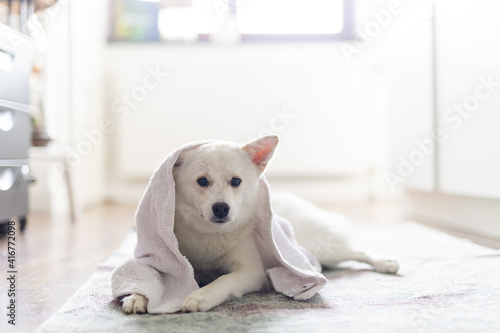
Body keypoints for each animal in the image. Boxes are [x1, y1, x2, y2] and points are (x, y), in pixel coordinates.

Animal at [121, 134, 398, 312]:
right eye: (202, 181)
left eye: (236, 181)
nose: (221, 208)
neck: (208, 236)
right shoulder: (166, 260)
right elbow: (150, 276)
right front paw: (137, 295)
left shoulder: (250, 272)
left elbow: (223, 281)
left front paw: (202, 295)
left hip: (322, 248)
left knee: (357, 251)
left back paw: (385, 262)